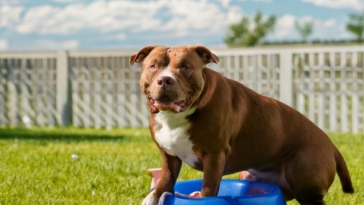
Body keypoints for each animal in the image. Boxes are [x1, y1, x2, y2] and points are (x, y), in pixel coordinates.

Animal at [129, 45, 354, 205]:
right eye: (153, 66)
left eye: (185, 67)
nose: (165, 80)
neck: (176, 117)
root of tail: (331, 145)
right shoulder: (169, 155)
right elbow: (165, 180)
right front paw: (154, 197)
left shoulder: (215, 155)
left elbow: (209, 187)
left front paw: (203, 197)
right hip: (253, 175)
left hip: (302, 175)